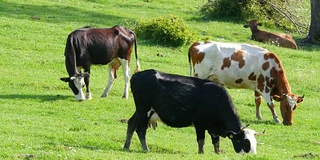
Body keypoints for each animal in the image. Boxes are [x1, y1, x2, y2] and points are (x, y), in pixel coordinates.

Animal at [123, 69, 262, 154]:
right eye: (245, 142)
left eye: (254, 143)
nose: (252, 155)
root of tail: (137, 75)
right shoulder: (200, 124)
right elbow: (201, 140)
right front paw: (201, 153)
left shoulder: (212, 128)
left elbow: (216, 141)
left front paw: (217, 152)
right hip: (144, 110)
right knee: (141, 129)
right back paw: (146, 149)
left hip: (141, 110)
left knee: (131, 124)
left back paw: (126, 146)